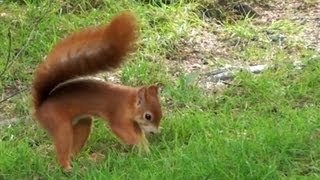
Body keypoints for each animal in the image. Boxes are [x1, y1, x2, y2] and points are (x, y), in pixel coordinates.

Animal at [31, 12, 162, 170]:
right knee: (63, 150)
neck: (128, 102)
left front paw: (147, 152)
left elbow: (140, 136)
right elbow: (124, 133)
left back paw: (86, 161)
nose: (155, 132)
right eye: (148, 116)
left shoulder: (134, 123)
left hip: (83, 124)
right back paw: (67, 168)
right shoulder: (118, 116)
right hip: (59, 125)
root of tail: (40, 108)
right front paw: (141, 147)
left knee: (73, 151)